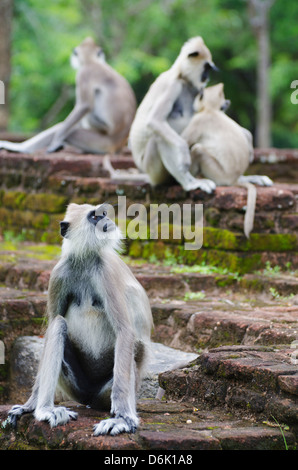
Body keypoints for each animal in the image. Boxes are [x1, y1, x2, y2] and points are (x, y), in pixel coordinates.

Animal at [0, 37, 137, 154]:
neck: (92, 62)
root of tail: (118, 144)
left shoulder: (83, 74)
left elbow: (85, 106)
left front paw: (56, 141)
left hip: (101, 141)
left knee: (73, 130)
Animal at [7, 202, 151, 436]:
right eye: (95, 217)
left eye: (103, 214)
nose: (107, 221)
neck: (85, 259)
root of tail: (90, 399)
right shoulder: (59, 273)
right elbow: (50, 329)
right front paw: (29, 405)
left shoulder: (105, 272)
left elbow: (125, 331)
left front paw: (122, 418)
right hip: (75, 387)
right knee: (58, 324)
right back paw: (46, 409)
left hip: (109, 390)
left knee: (133, 345)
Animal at [129, 35, 218, 192]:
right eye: (206, 67)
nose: (206, 76)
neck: (182, 76)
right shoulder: (173, 85)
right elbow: (155, 121)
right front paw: (184, 153)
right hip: (152, 169)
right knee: (158, 137)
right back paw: (189, 183)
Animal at [180, 82, 274, 237]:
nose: (227, 102)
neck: (211, 110)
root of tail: (233, 179)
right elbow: (243, 131)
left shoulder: (199, 120)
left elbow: (182, 141)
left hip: (217, 173)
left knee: (197, 149)